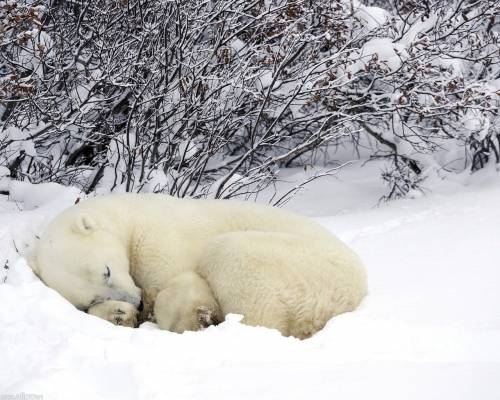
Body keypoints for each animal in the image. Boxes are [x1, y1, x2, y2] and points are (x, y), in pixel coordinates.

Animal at [32, 195, 368, 340]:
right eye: (93, 296)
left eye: (107, 270)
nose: (136, 302)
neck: (128, 216)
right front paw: (119, 314)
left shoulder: (158, 240)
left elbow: (178, 283)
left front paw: (188, 314)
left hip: (296, 265)